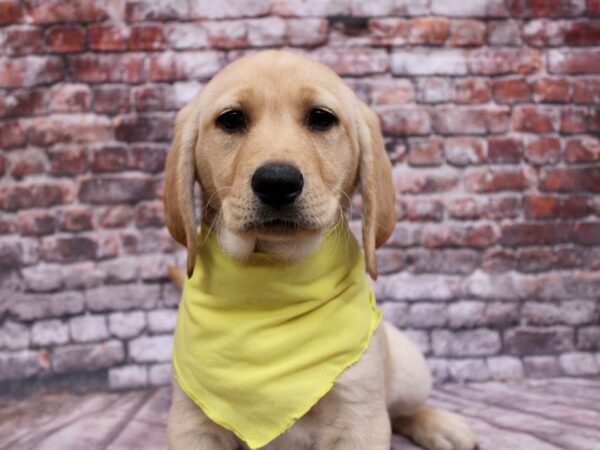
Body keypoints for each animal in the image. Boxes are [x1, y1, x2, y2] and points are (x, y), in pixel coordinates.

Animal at [164, 49, 478, 450]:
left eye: (321, 118)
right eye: (232, 120)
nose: (277, 182)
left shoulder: (359, 417)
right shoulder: (191, 422)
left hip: (410, 369)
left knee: (399, 408)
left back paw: (441, 425)